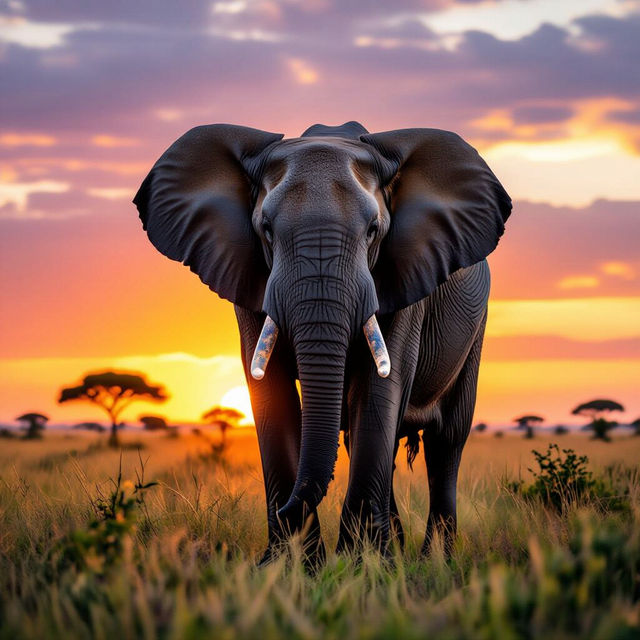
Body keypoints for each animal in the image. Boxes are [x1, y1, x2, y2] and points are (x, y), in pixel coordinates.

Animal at [134, 120, 512, 563]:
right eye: (266, 229)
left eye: (373, 231)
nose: (286, 507)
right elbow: (270, 390)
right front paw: (292, 565)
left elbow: (381, 386)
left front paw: (362, 566)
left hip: (476, 328)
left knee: (446, 442)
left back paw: (433, 561)